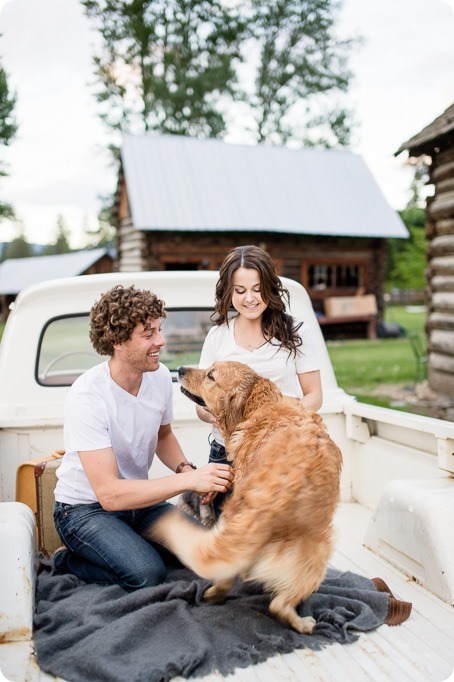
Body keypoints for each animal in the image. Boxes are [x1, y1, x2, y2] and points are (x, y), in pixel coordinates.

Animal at [149, 362, 340, 632]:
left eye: (211, 376)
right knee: (278, 605)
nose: (181, 368)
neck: (259, 407)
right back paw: (303, 623)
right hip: (319, 554)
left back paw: (215, 594)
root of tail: (268, 502)